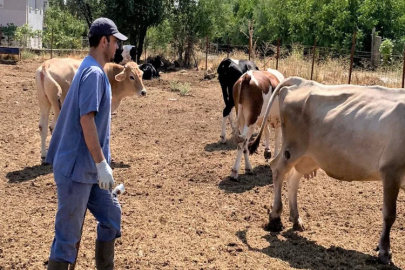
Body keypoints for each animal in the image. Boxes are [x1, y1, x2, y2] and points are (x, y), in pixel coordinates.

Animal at [248, 76, 404, 264]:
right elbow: (389, 214)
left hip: (309, 156)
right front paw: (385, 251)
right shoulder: (391, 170)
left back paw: (296, 219)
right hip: (292, 148)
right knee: (277, 169)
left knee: (293, 178)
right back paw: (275, 218)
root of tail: (301, 81)